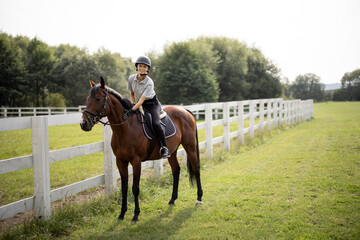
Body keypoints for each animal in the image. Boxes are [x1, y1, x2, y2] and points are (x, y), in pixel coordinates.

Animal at [81, 78, 202, 222]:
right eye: (87, 99)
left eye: (98, 99)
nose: (84, 123)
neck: (125, 128)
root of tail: (185, 110)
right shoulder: (120, 161)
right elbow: (124, 188)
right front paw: (122, 214)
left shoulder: (136, 161)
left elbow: (135, 188)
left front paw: (135, 214)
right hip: (172, 152)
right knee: (176, 170)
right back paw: (172, 199)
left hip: (190, 147)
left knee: (196, 169)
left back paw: (199, 198)